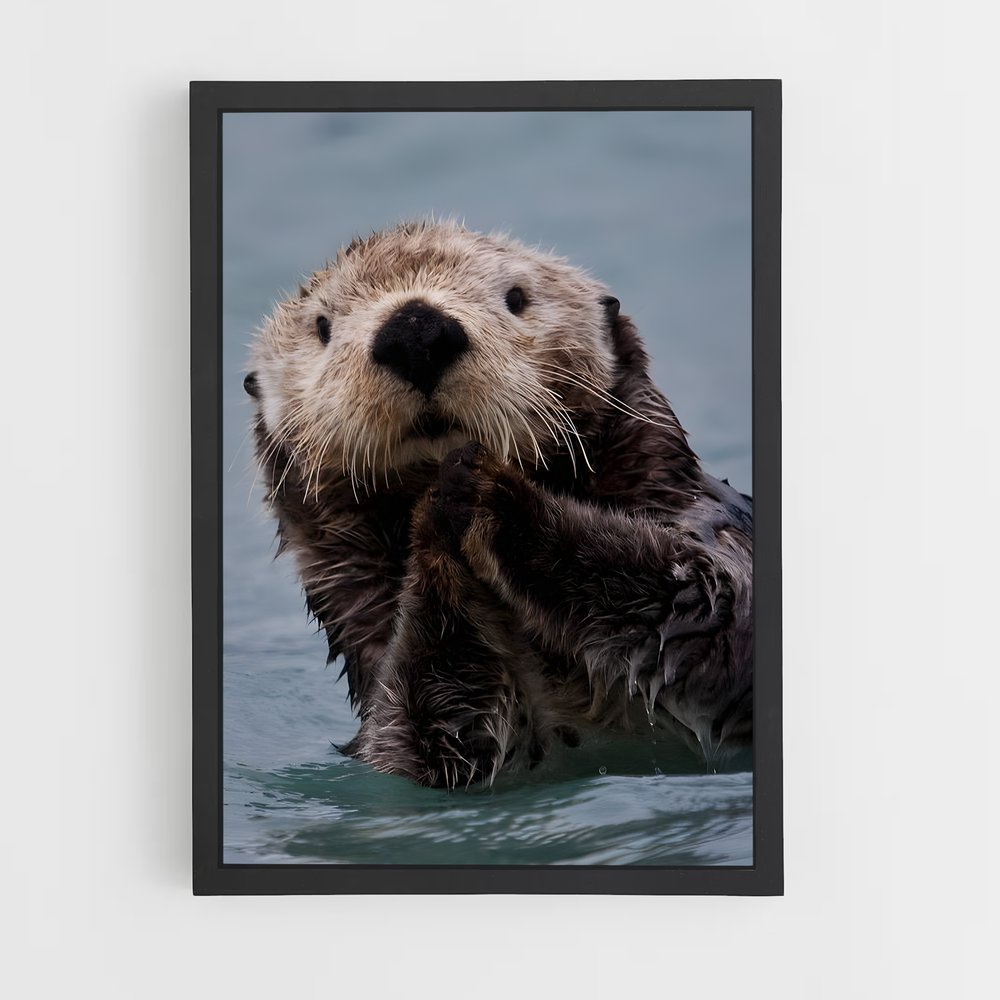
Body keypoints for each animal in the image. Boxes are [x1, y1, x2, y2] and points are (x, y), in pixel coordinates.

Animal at [245, 220, 752, 789]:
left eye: (516, 298)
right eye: (322, 326)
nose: (415, 331)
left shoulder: (713, 535)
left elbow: (711, 602)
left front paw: (485, 487)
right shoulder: (396, 715)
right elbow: (425, 737)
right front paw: (437, 522)